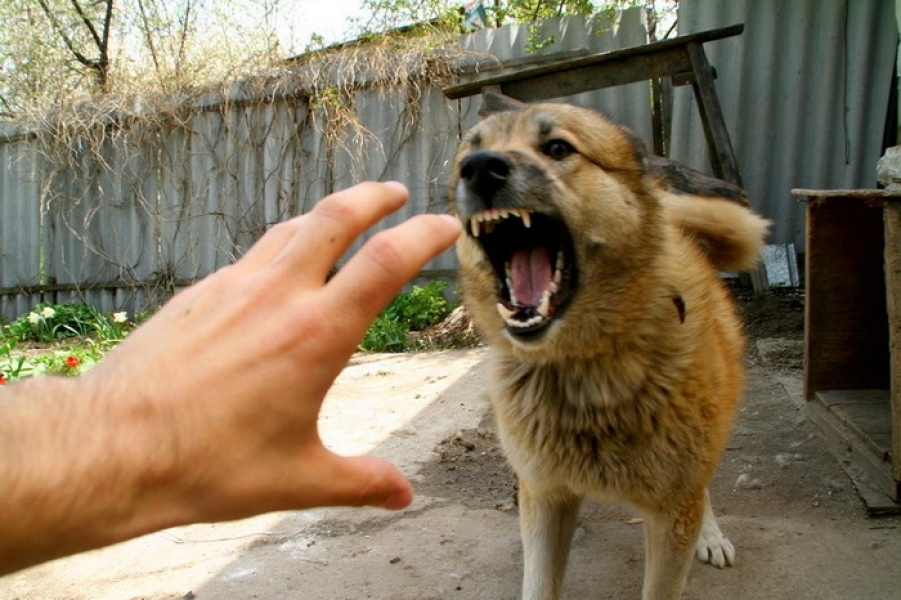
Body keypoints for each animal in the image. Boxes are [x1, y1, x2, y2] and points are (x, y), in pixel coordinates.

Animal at [446, 96, 768, 596]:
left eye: (558, 148)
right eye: (467, 153)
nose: (479, 169)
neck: (586, 369)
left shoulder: (671, 514)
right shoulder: (546, 498)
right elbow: (539, 581)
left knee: (704, 486)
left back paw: (711, 534)